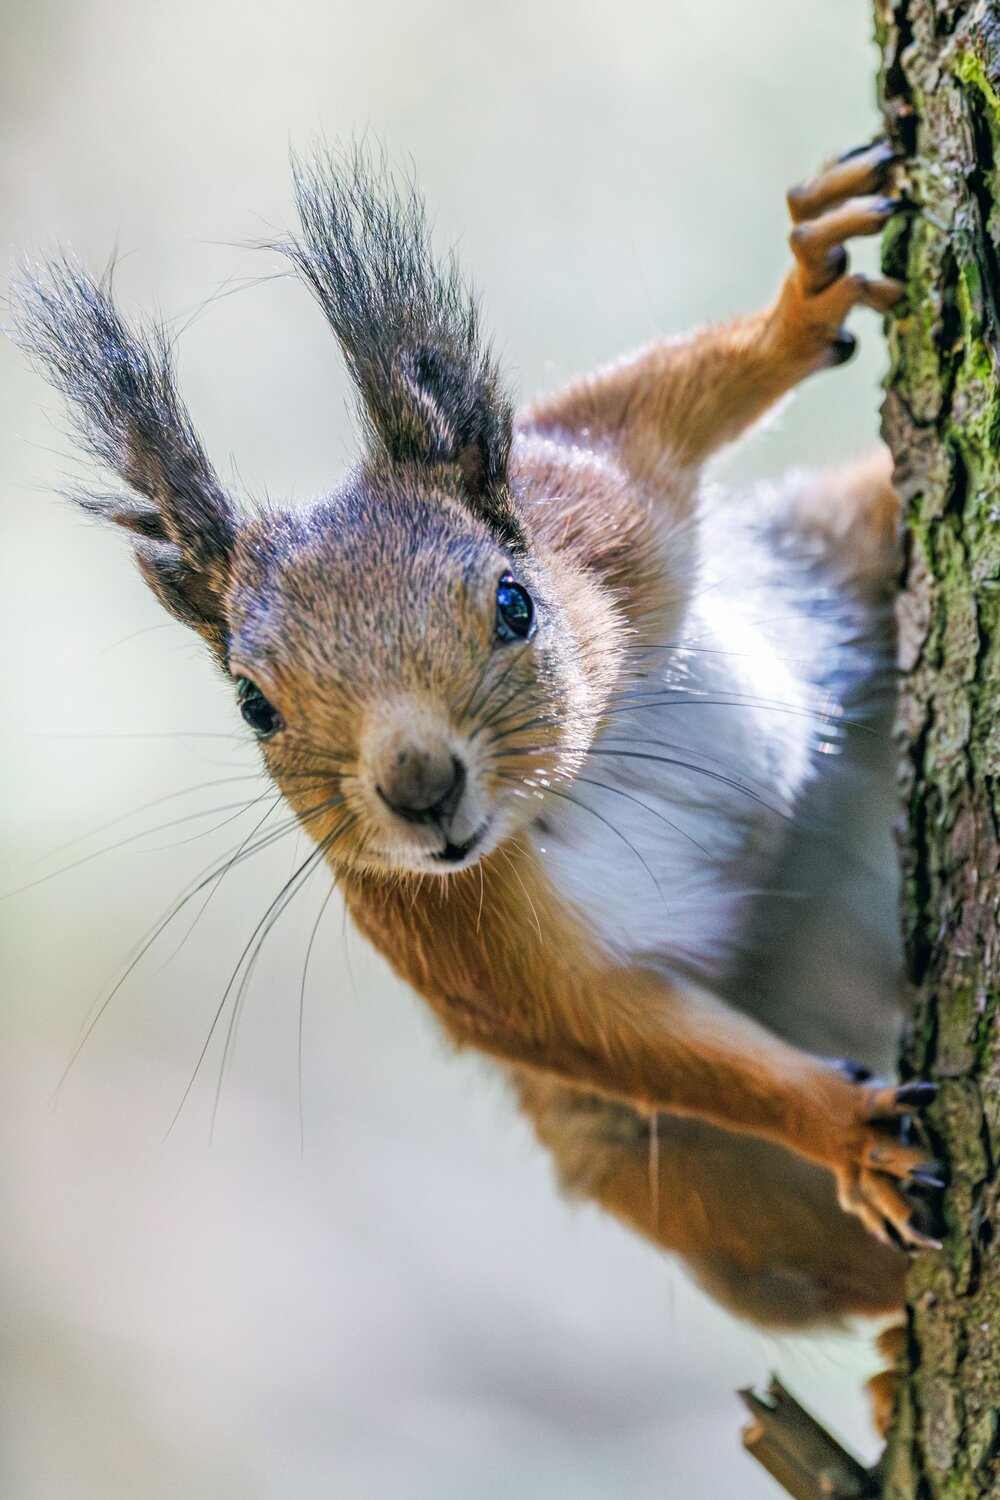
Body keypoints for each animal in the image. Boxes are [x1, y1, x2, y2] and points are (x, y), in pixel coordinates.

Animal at [14, 139, 942, 1433]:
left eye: (513, 601)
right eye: (253, 704)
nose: (419, 790)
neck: (581, 779)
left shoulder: (602, 506)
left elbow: (664, 396)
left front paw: (802, 293)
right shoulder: (455, 937)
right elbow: (619, 1035)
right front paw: (846, 1128)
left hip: (838, 541)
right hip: (703, 1198)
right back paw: (896, 1353)